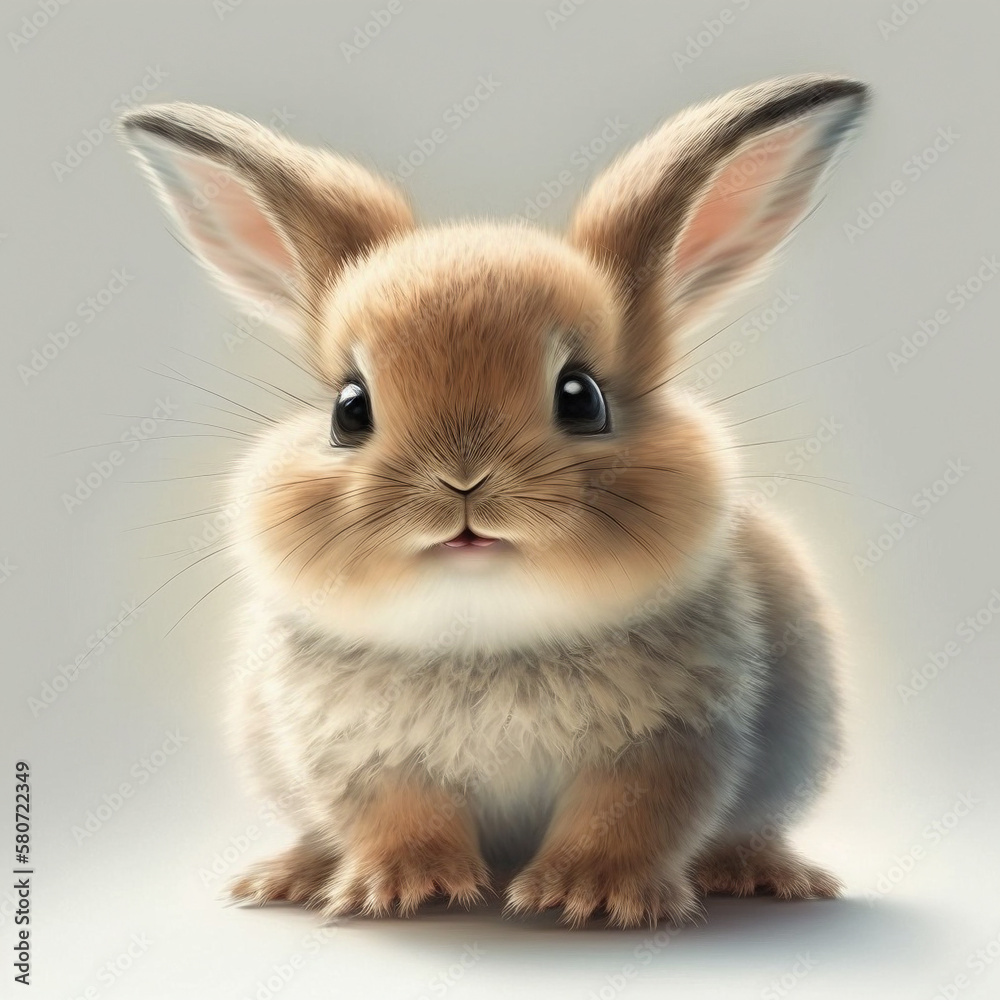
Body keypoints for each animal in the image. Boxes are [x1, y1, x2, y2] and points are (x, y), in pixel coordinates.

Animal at [119, 73, 868, 928]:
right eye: (349, 409)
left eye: (582, 398)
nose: (463, 479)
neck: (484, 630)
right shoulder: (366, 758)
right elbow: (399, 817)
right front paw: (404, 889)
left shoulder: (668, 747)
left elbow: (627, 819)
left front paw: (587, 896)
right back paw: (288, 878)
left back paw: (766, 875)